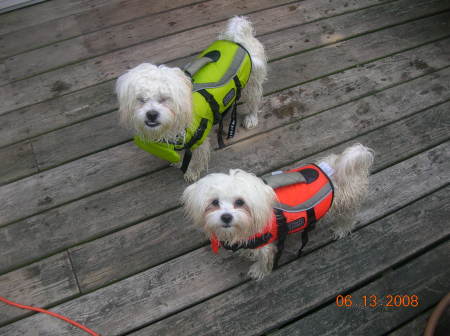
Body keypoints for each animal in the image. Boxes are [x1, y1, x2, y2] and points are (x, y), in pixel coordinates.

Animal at [114, 16, 268, 181]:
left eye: (165, 99)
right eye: (141, 99)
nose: (151, 114)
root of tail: (237, 39)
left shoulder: (199, 141)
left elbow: (195, 161)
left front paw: (191, 173)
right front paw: (178, 162)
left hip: (252, 82)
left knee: (254, 100)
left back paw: (251, 118)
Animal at [181, 143, 374, 280]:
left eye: (240, 202)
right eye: (214, 202)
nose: (226, 217)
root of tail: (337, 167)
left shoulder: (266, 245)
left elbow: (264, 259)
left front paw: (258, 271)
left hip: (347, 204)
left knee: (348, 218)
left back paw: (341, 229)